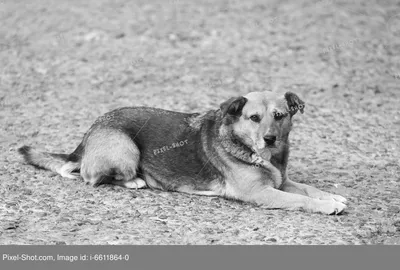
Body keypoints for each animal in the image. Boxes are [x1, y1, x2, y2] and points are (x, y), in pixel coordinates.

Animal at [19, 90, 346, 215]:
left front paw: (332, 196)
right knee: (88, 176)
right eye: (254, 118)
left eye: (280, 116)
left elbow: (307, 188)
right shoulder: (262, 193)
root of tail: (89, 133)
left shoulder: (281, 180)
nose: (269, 139)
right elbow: (299, 200)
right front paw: (326, 206)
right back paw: (135, 180)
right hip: (124, 148)